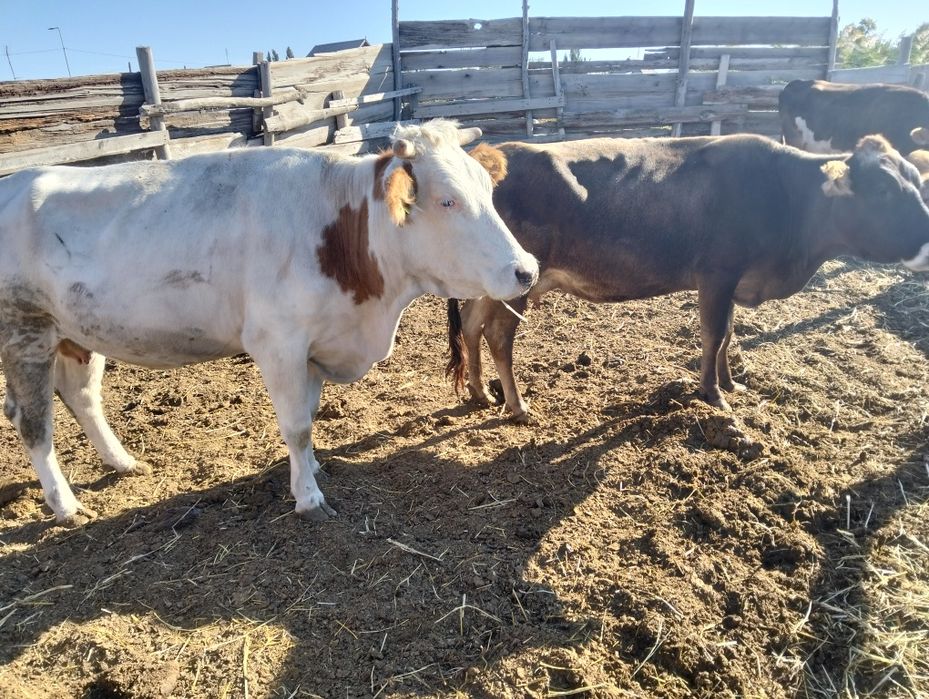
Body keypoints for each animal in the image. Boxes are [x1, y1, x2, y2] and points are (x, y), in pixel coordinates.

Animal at [0, 120, 538, 526]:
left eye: (488, 189)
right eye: (447, 200)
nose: (526, 269)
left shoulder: (317, 344)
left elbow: (311, 414)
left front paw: (315, 467)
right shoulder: (278, 342)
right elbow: (296, 425)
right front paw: (309, 497)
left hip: (75, 333)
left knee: (83, 397)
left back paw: (123, 461)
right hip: (25, 332)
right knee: (33, 423)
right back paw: (65, 505)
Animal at [448, 134, 929, 423]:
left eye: (916, 182)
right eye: (883, 190)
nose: (926, 241)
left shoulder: (732, 281)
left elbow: (730, 333)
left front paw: (731, 382)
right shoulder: (716, 274)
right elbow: (714, 334)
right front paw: (713, 394)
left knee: (471, 324)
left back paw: (479, 392)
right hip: (516, 283)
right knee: (498, 334)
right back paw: (517, 405)